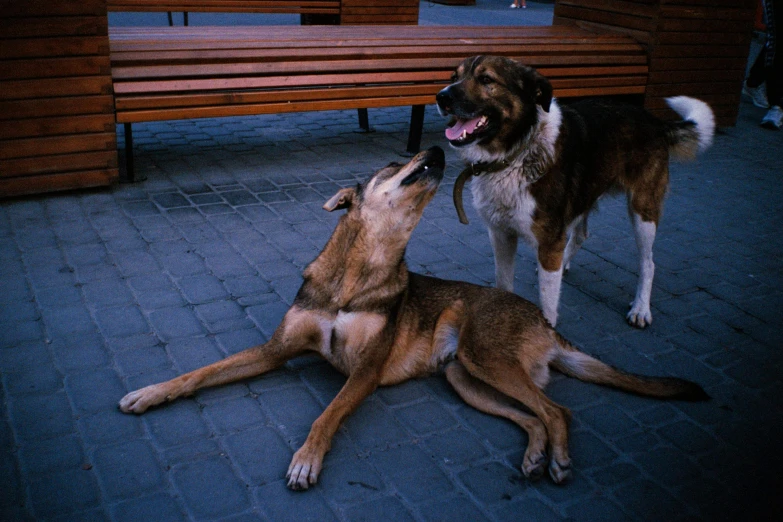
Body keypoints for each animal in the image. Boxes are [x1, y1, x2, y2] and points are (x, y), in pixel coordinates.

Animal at [118, 146, 712, 488]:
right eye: (390, 163)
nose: (434, 145)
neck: (358, 272)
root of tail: (546, 323)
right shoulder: (275, 350)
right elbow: (201, 372)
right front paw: (150, 392)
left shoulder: (364, 372)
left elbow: (326, 415)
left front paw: (307, 460)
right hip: (465, 378)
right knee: (532, 417)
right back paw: (535, 457)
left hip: (483, 358)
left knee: (557, 410)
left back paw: (559, 460)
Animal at [438, 55, 712, 324]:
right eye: (454, 77)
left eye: (486, 79)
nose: (441, 97)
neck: (514, 154)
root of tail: (654, 120)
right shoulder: (501, 234)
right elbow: (504, 284)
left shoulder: (549, 241)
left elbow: (547, 309)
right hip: (584, 194)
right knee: (580, 235)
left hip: (643, 210)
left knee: (648, 263)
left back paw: (641, 308)